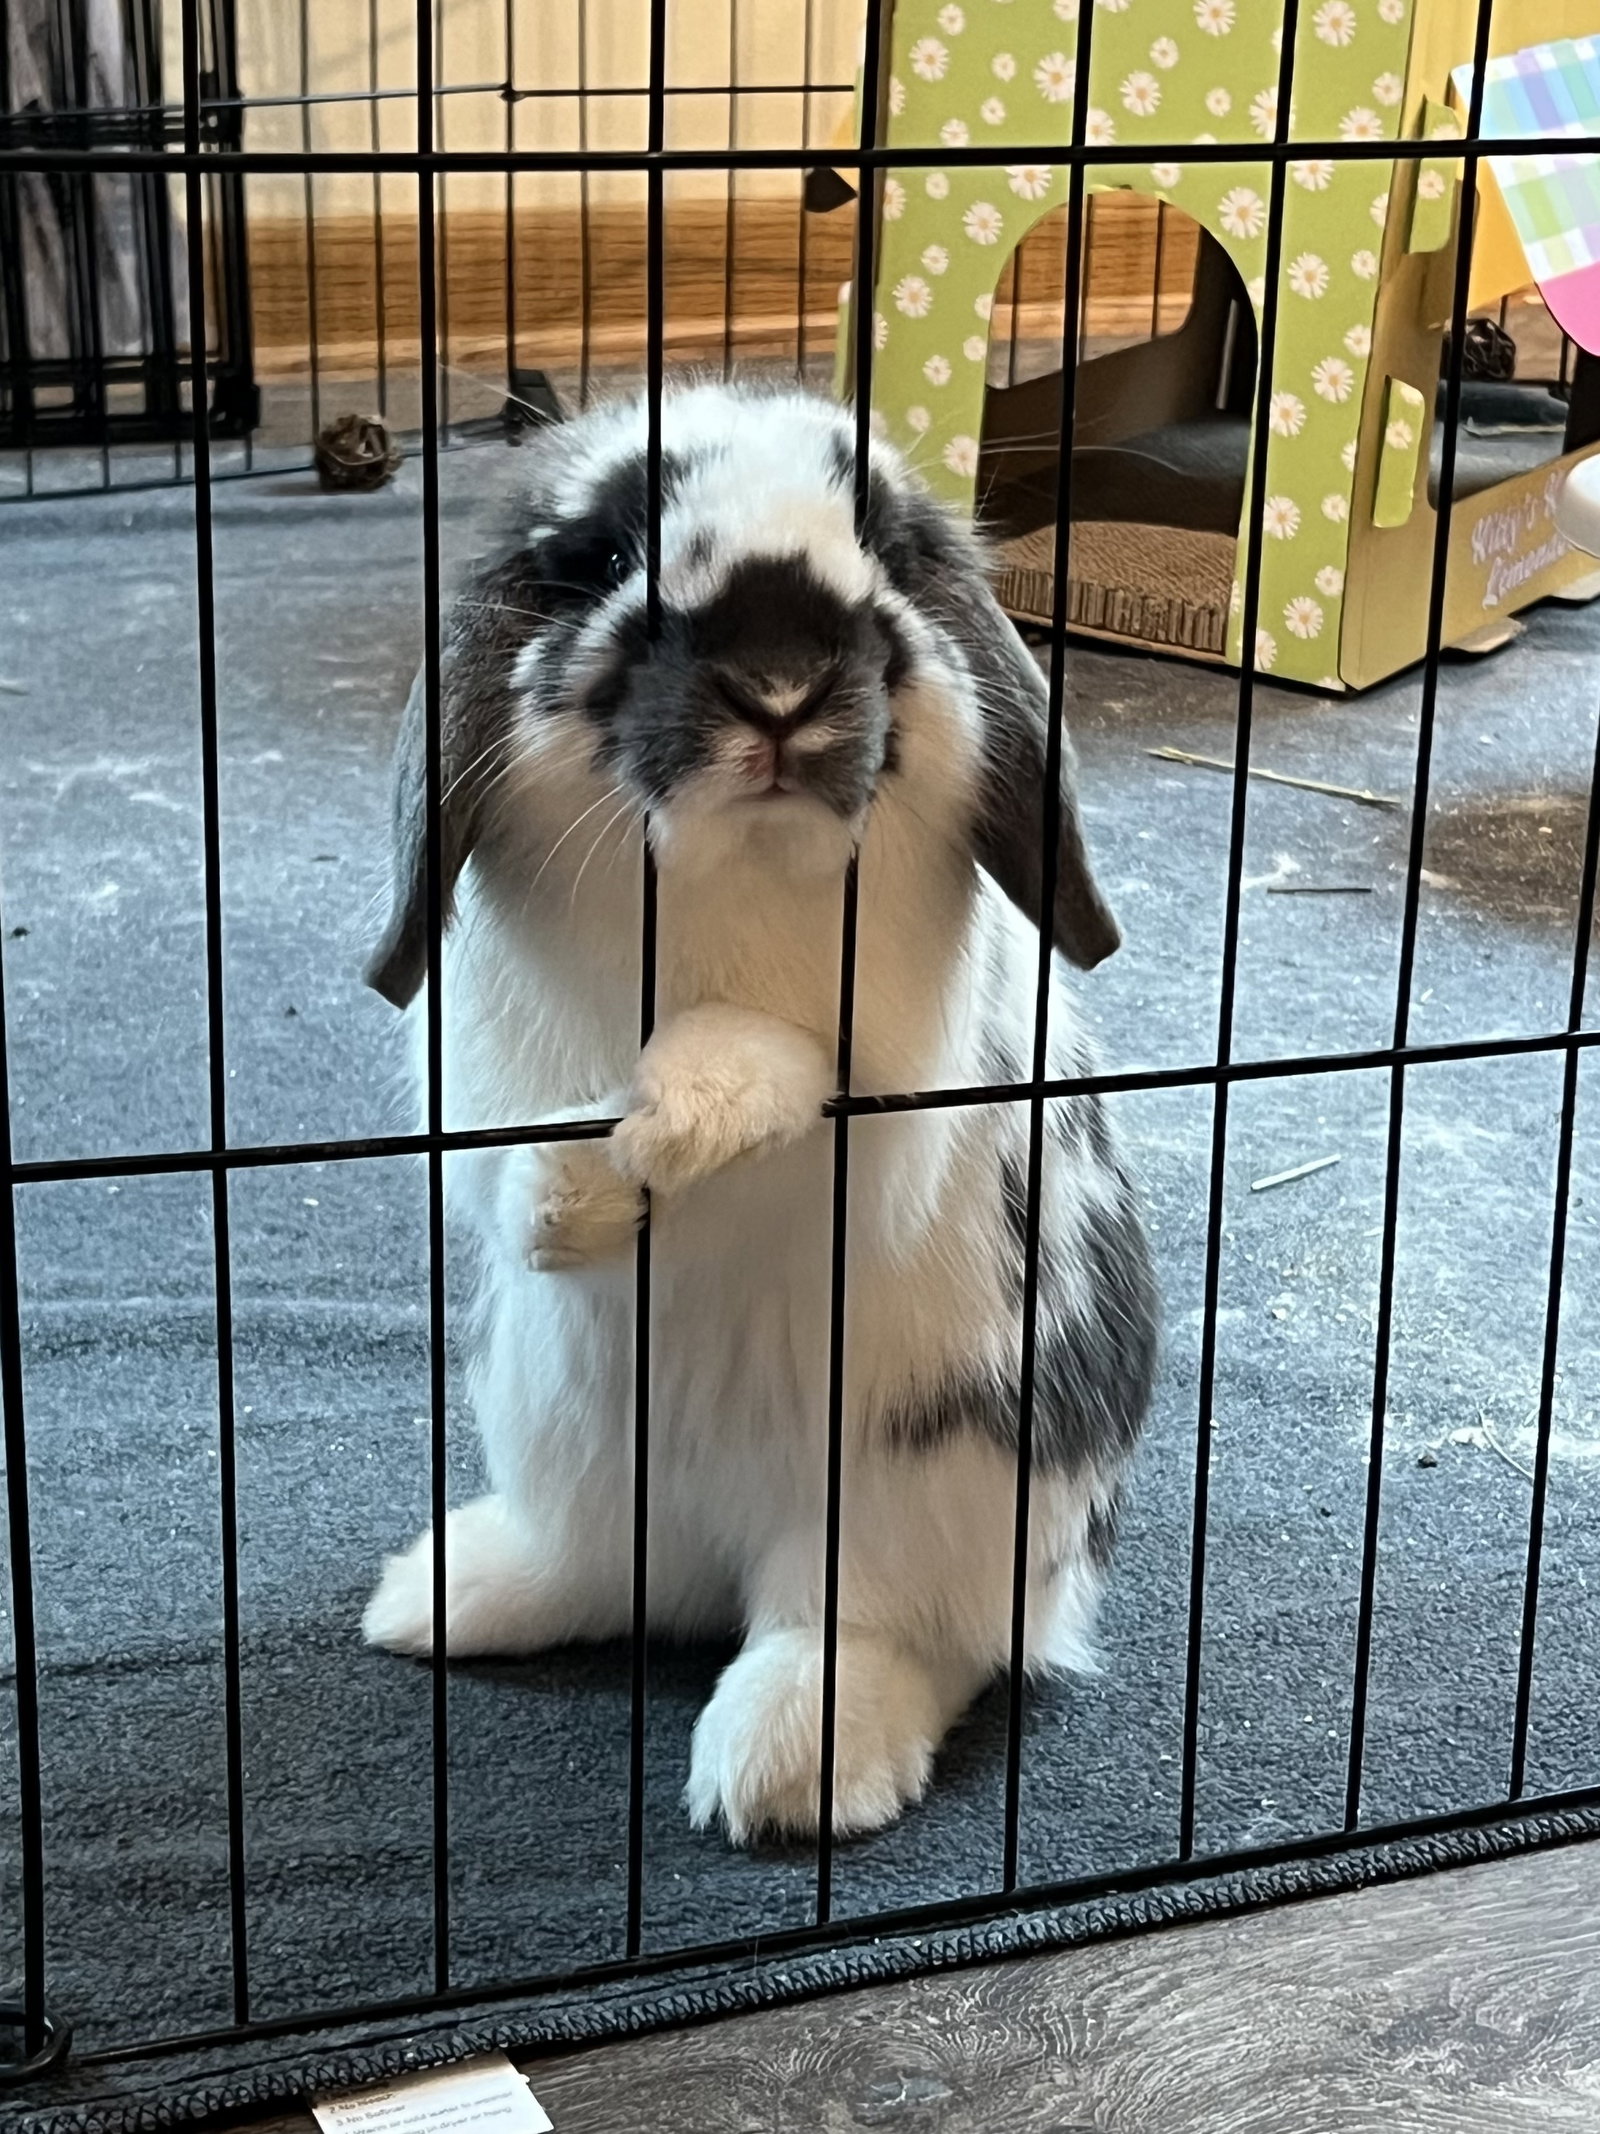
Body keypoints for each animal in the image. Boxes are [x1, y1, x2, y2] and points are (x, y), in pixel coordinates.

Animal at [360, 381, 1157, 1843]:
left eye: (886, 553)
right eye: (607, 557)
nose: (780, 685)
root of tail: (711, 1552)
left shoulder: (884, 1076)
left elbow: (772, 1058)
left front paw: (664, 1126)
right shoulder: (476, 1080)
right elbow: (509, 1164)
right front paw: (575, 1195)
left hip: (924, 1488)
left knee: (898, 1632)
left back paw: (793, 1765)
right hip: (555, 1429)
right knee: (602, 1575)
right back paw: (443, 1594)